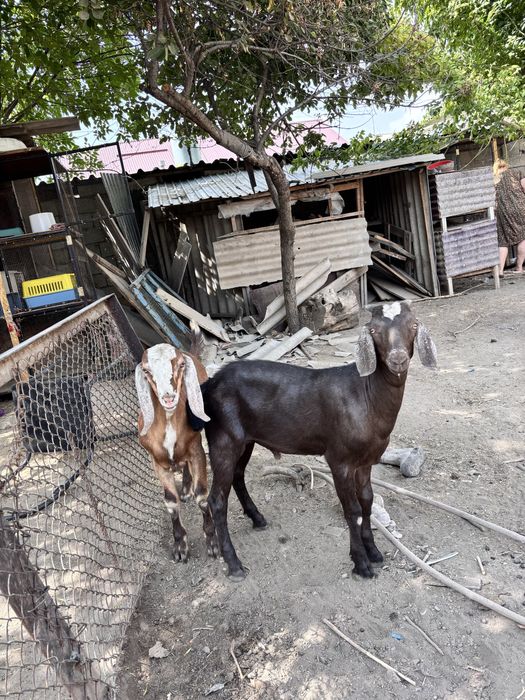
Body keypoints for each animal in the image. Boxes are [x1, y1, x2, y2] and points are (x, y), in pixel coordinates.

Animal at [135, 335, 218, 562]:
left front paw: (212, 542)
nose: (168, 397)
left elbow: (202, 496)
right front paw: (180, 547)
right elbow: (171, 502)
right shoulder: (157, 462)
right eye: (146, 371)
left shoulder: (196, 451)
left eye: (180, 365)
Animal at [201, 301, 437, 580]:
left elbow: (367, 501)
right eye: (374, 330)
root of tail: (208, 385)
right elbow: (352, 510)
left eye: (413, 325)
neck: (366, 395)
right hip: (223, 438)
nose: (398, 359)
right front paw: (361, 564)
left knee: (237, 477)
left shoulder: (366, 460)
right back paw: (234, 564)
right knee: (217, 500)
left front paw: (374, 553)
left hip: (245, 440)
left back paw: (257, 519)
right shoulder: (339, 458)